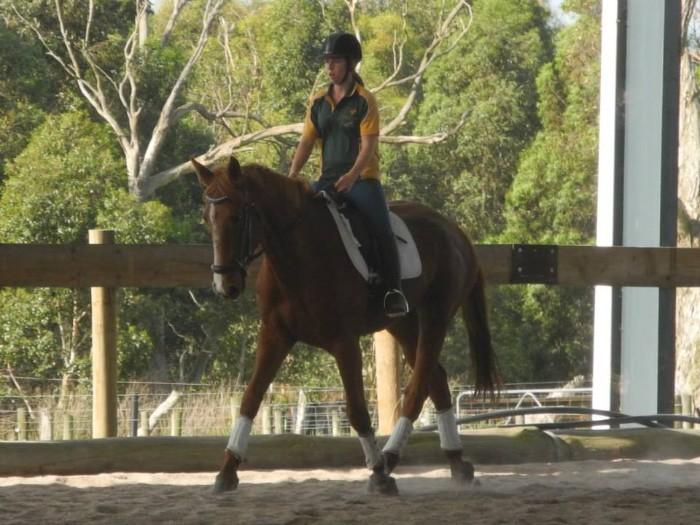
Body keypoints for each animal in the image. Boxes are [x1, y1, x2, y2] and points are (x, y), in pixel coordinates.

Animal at [192, 156, 499, 495]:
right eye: (207, 219)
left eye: (236, 217)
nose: (225, 286)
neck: (299, 255)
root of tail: (454, 230)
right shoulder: (274, 335)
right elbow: (250, 399)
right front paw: (227, 471)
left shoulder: (344, 342)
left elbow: (357, 411)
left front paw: (378, 475)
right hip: (403, 324)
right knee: (437, 380)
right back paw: (455, 463)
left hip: (436, 315)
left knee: (418, 387)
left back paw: (389, 459)